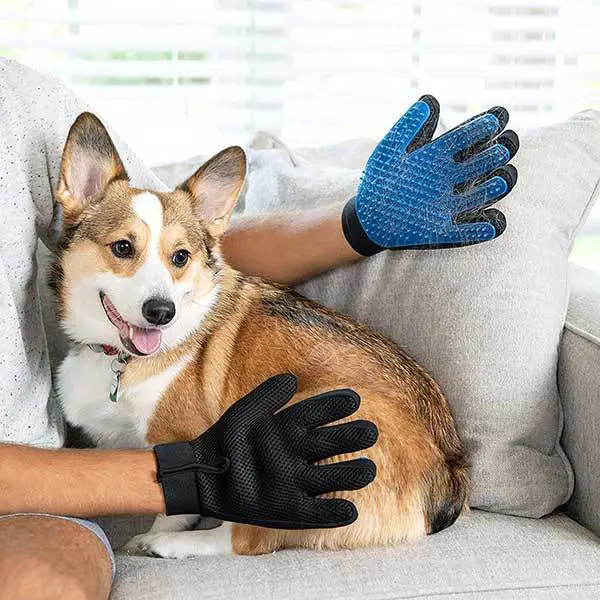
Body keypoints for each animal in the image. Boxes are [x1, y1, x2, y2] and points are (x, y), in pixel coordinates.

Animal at [52, 112, 468, 556]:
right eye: (123, 248)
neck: (119, 359)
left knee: (248, 537)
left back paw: (166, 545)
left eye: (180, 257)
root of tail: (448, 480)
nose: (162, 313)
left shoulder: (175, 438)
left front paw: (162, 532)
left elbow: (174, 504)